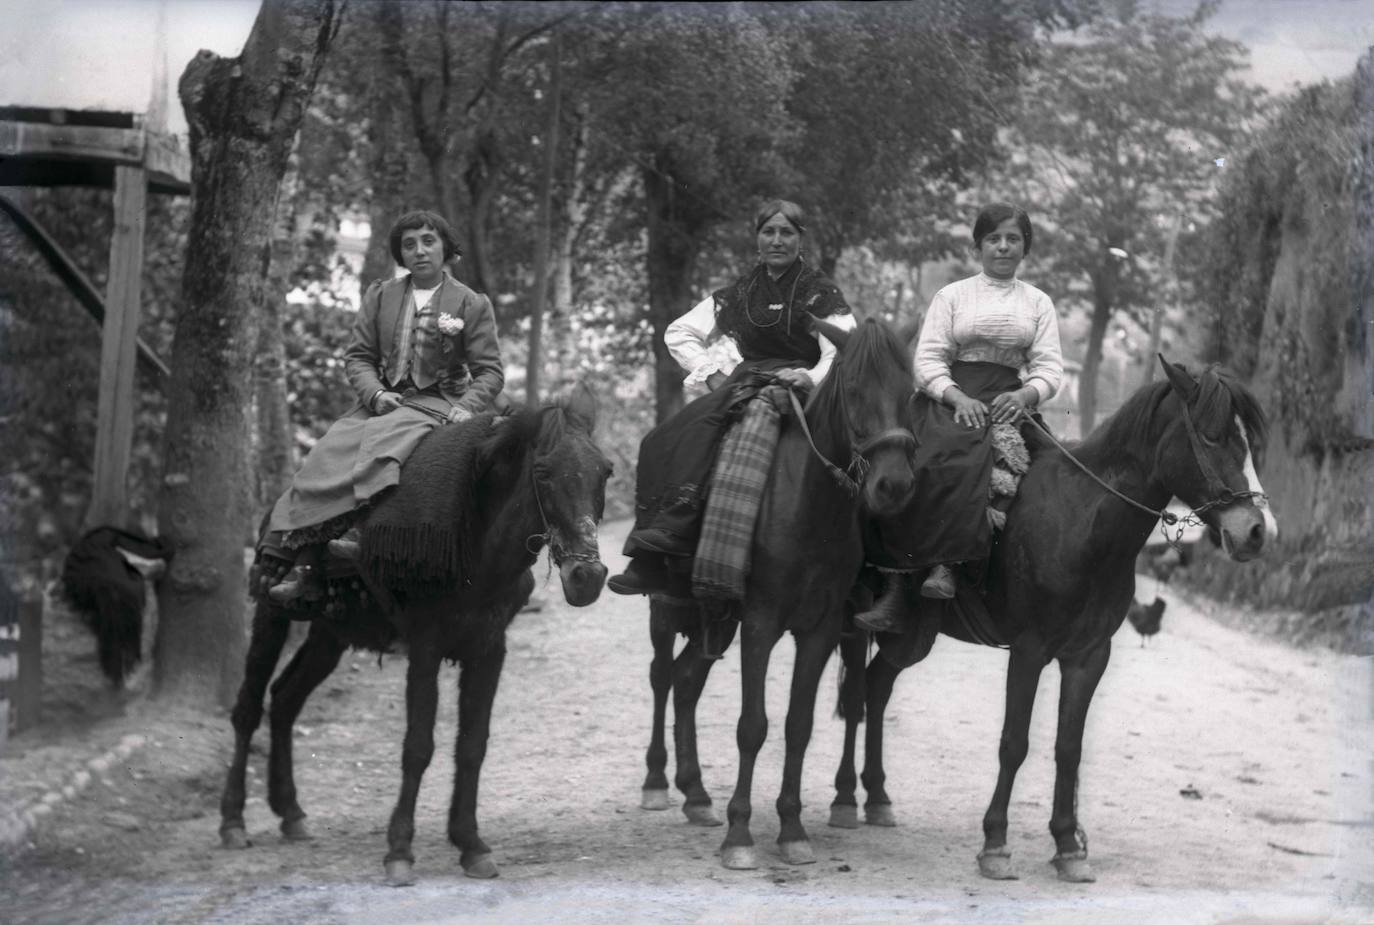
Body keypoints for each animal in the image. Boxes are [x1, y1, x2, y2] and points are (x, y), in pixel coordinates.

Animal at [218, 382, 607, 879]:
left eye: (605, 471)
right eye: (542, 471)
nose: (587, 577)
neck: (474, 544)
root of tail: (273, 513)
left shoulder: (489, 650)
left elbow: (472, 745)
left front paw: (470, 843)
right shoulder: (425, 648)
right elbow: (418, 747)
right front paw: (400, 849)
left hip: (330, 635)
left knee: (285, 700)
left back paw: (290, 812)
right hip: (271, 614)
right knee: (248, 709)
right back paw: (233, 820)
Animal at [634, 316, 917, 868]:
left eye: (911, 392)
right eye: (853, 389)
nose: (893, 486)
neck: (807, 504)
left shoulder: (820, 630)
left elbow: (797, 725)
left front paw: (791, 829)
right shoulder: (761, 623)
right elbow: (753, 725)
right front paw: (740, 836)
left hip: (718, 621)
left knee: (685, 679)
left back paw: (696, 794)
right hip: (667, 606)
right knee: (661, 676)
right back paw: (657, 782)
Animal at [824, 360, 1275, 879]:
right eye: (1211, 435)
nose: (1255, 532)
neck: (1081, 523)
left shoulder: (1088, 657)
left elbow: (1068, 747)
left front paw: (1067, 845)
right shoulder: (1029, 651)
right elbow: (1014, 742)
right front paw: (995, 843)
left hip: (912, 637)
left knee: (877, 690)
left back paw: (877, 796)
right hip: (856, 619)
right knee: (856, 694)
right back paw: (844, 799)